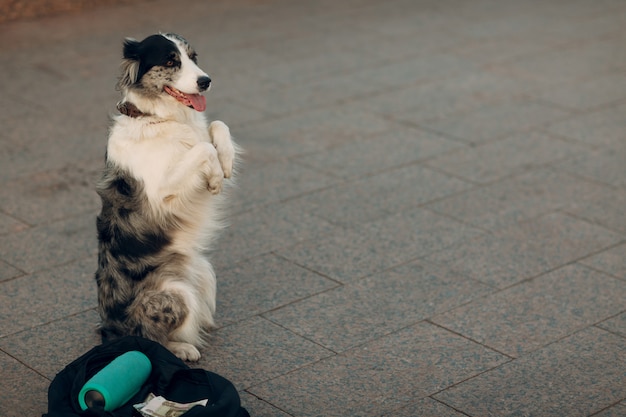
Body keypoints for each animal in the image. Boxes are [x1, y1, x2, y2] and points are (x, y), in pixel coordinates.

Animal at [94, 32, 238, 360]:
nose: (206, 81)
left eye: (193, 58)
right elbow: (203, 148)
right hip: (175, 293)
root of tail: (112, 335)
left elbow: (217, 126)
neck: (157, 117)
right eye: (171, 62)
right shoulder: (160, 191)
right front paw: (214, 177)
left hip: (203, 271)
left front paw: (225, 163)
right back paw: (183, 349)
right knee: (149, 339)